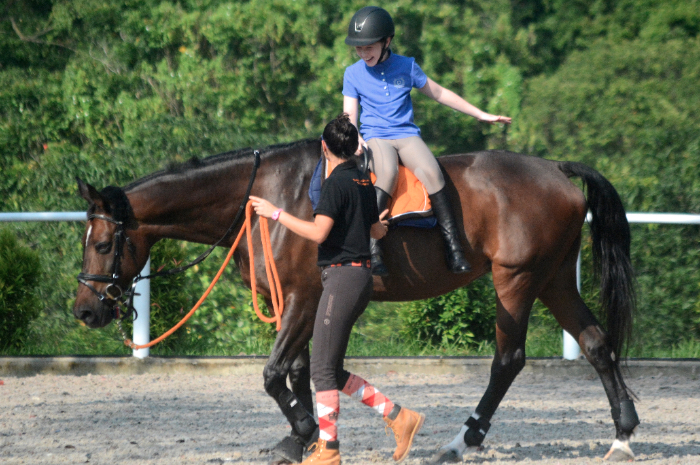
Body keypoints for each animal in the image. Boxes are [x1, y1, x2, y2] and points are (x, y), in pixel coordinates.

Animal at [75, 138, 640, 460]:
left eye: (102, 244)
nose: (85, 310)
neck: (270, 196)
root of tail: (556, 170)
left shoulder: (303, 298)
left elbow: (274, 374)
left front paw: (304, 430)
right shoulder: (302, 303)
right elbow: (302, 370)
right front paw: (301, 438)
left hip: (517, 282)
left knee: (508, 359)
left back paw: (462, 441)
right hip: (553, 279)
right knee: (596, 343)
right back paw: (622, 435)